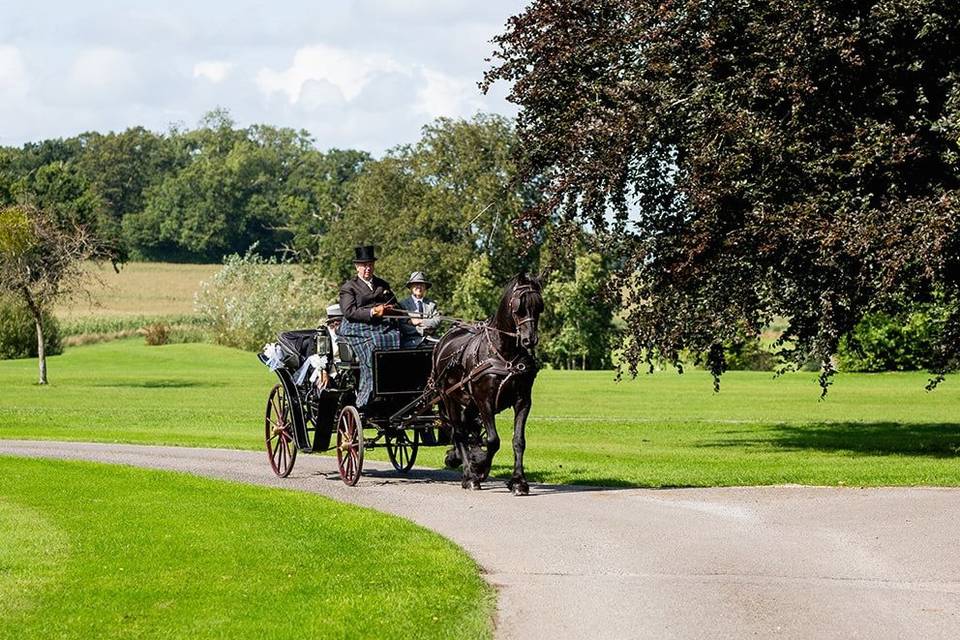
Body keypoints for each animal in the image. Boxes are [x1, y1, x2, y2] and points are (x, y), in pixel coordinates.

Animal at [432, 270, 544, 496]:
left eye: (539, 306)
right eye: (518, 306)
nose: (529, 340)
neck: (504, 354)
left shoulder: (523, 401)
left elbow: (518, 441)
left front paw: (519, 482)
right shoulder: (485, 401)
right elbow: (493, 440)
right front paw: (479, 467)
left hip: (469, 403)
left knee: (467, 430)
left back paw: (459, 459)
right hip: (449, 398)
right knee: (459, 432)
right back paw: (469, 476)